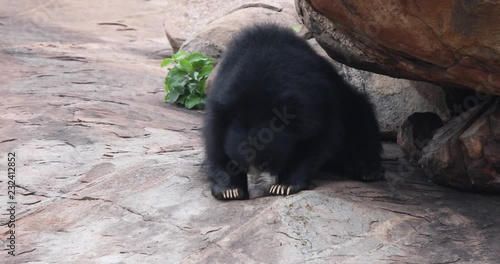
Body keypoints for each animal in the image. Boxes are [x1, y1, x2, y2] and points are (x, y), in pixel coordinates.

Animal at [201, 23, 384, 200]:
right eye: (241, 165)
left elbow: (316, 142)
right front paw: (229, 190)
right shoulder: (220, 109)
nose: (256, 194)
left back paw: (368, 171)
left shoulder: (316, 104)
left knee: (362, 122)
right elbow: (215, 147)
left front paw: (283, 186)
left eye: (267, 162)